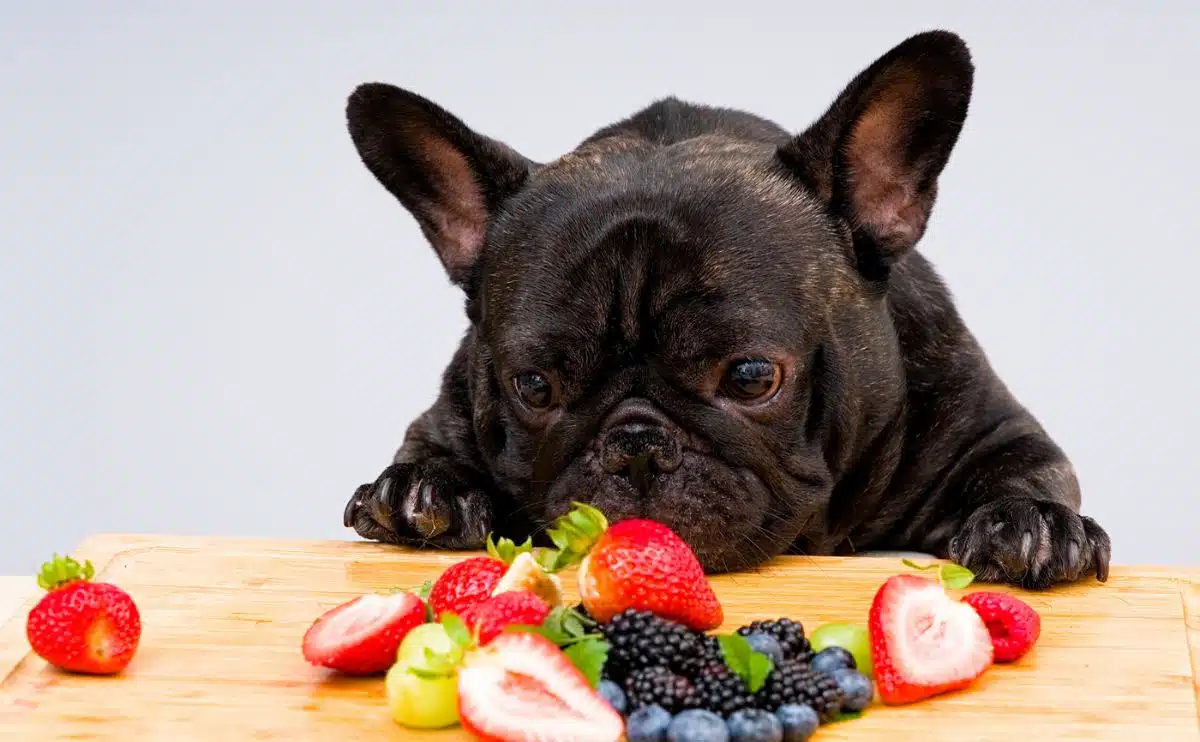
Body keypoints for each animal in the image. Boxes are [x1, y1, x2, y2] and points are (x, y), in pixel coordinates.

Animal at [336, 28, 1104, 585]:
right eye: (534, 386)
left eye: (752, 377)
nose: (636, 447)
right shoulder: (447, 410)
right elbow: (432, 449)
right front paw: (424, 490)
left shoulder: (993, 426)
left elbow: (1026, 468)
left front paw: (1031, 524)